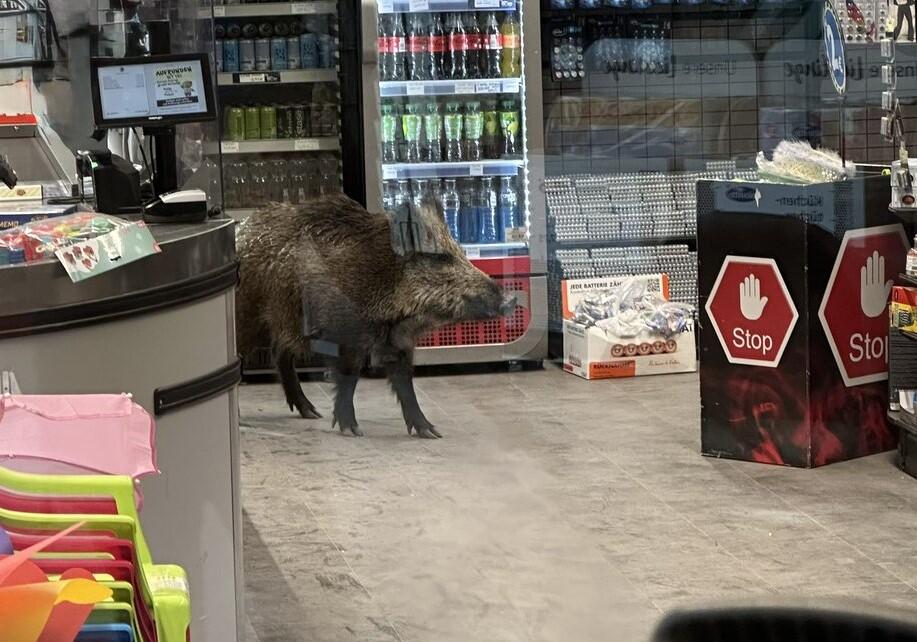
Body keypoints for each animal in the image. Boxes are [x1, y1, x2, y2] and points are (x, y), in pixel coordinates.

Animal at [236, 194, 514, 438]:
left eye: (462, 253)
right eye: (440, 258)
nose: (511, 299)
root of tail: (241, 232)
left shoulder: (399, 342)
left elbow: (405, 383)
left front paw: (431, 432)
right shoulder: (347, 336)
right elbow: (349, 378)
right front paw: (352, 430)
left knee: (280, 354)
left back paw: (311, 412)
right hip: (250, 319)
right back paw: (242, 419)